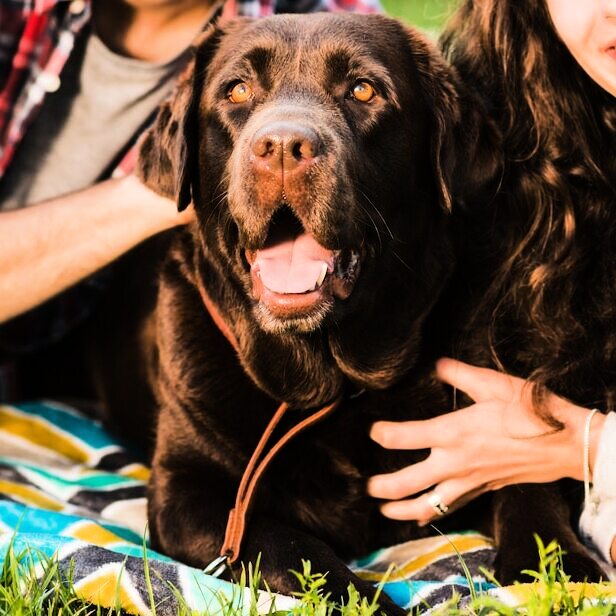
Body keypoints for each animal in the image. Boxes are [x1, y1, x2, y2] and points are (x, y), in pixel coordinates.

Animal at [98, 10, 604, 612]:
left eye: (364, 90)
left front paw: (559, 570)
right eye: (237, 90)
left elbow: (528, 487)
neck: (334, 381)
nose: (283, 146)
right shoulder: (187, 490)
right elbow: (286, 543)